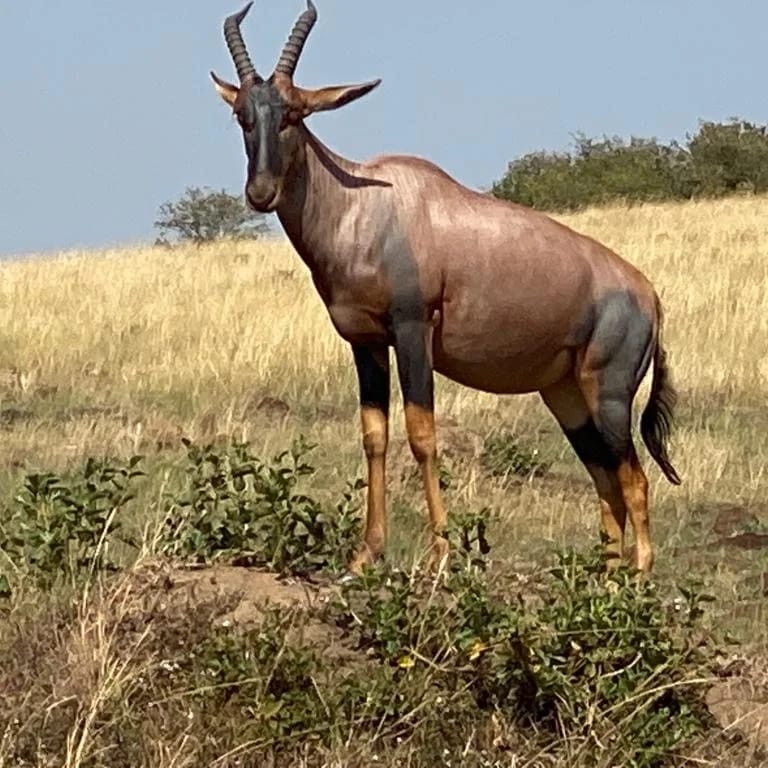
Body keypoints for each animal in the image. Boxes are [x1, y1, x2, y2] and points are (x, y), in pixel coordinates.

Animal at [208, 0, 680, 576]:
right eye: (242, 115)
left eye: (296, 113)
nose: (260, 193)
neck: (365, 205)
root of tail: (648, 295)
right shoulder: (365, 341)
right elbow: (374, 435)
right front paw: (367, 553)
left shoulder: (413, 331)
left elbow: (422, 435)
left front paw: (440, 554)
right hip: (566, 394)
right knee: (605, 479)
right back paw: (605, 575)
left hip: (609, 392)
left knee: (634, 478)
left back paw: (637, 576)